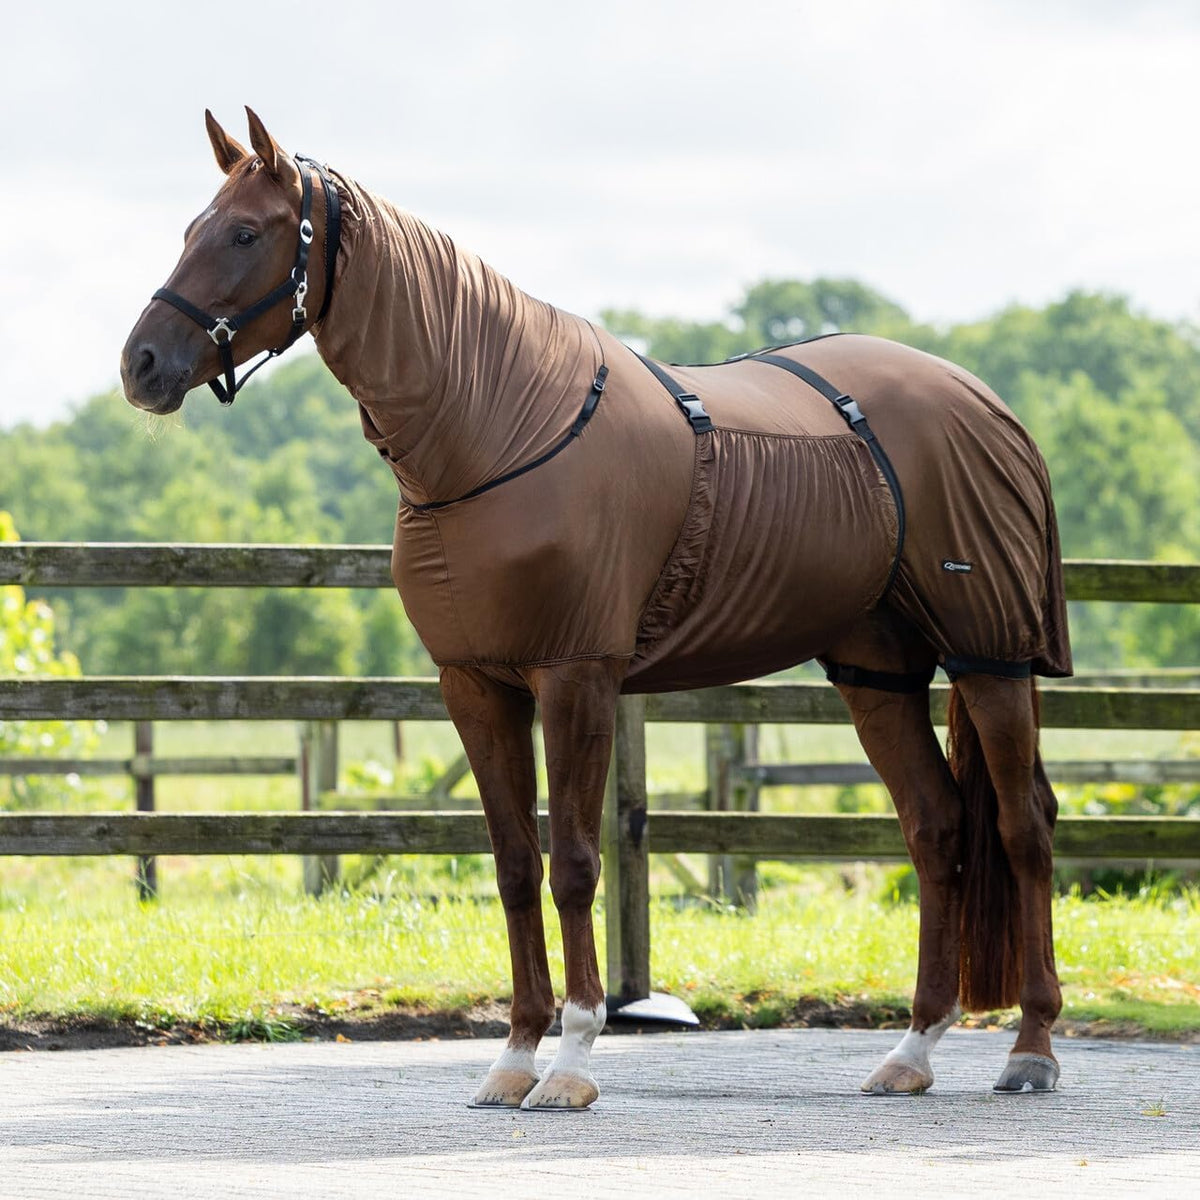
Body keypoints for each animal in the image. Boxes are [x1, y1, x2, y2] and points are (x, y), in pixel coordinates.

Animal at [121, 108, 1072, 1109]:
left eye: (244, 233)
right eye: (192, 227)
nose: (140, 364)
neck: (498, 424)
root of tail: (986, 404)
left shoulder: (576, 676)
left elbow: (576, 865)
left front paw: (573, 1058)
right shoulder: (477, 686)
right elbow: (513, 865)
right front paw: (513, 1058)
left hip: (991, 654)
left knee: (1023, 827)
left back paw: (1031, 1048)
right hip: (876, 672)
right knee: (936, 829)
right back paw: (912, 1050)